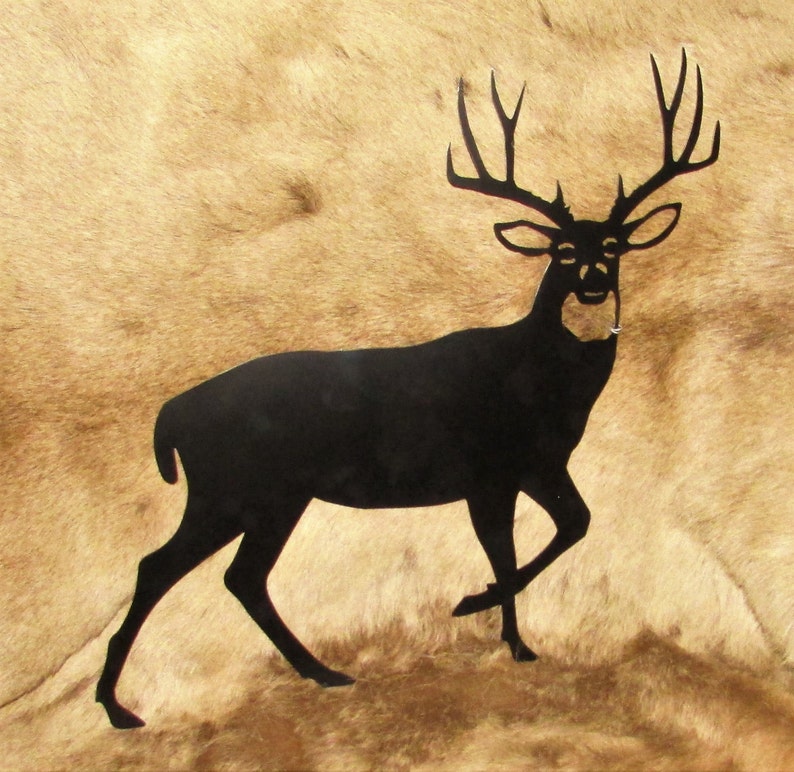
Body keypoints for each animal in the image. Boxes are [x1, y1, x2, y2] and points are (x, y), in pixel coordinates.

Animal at [97, 50, 719, 728]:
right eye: (560, 249)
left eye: (613, 246)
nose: (592, 285)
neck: (545, 386)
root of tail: (171, 414)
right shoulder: (490, 471)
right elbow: (511, 551)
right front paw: (479, 608)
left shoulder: (537, 465)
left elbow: (572, 524)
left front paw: (514, 640)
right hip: (235, 487)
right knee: (163, 566)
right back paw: (118, 707)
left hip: (271, 495)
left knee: (239, 576)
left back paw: (319, 672)